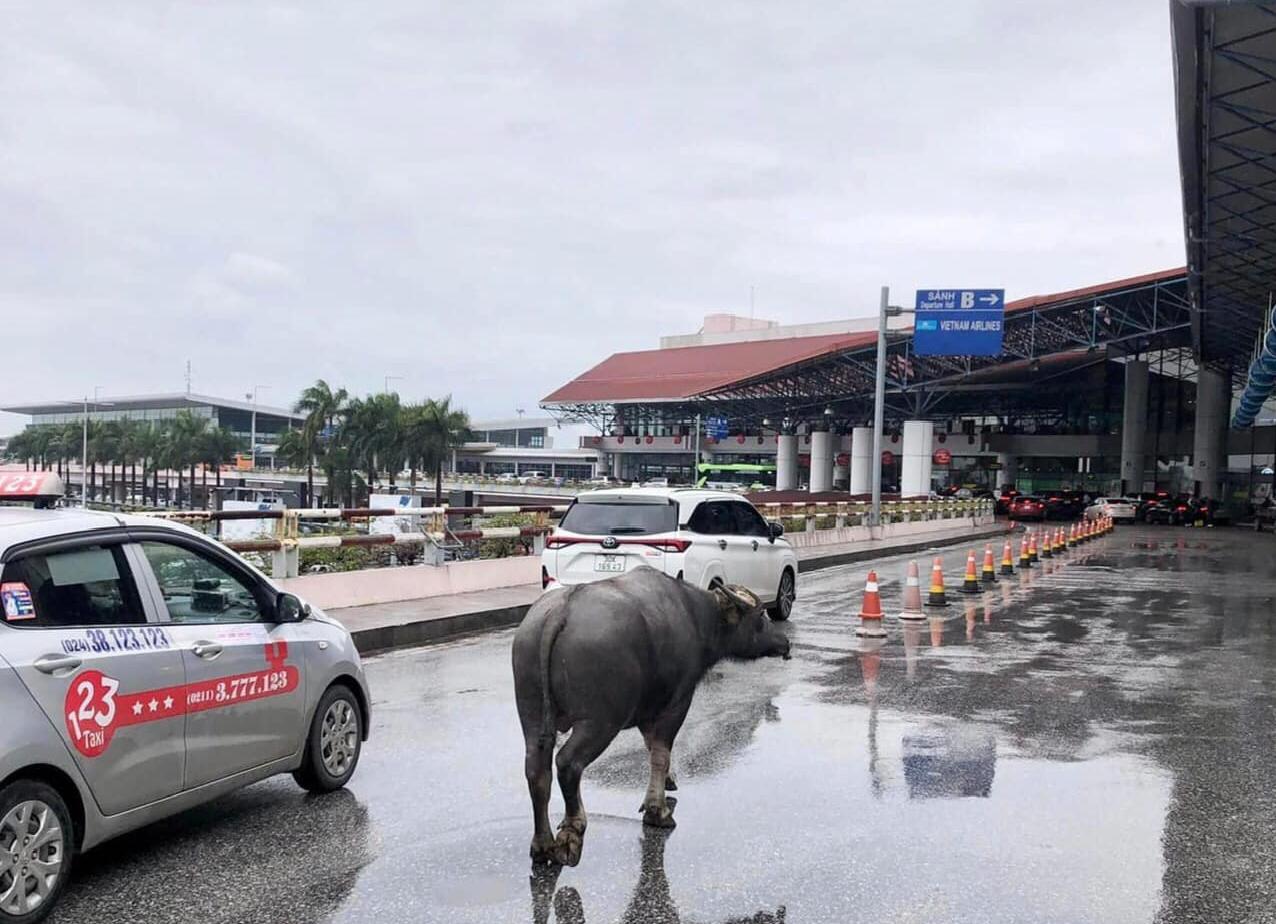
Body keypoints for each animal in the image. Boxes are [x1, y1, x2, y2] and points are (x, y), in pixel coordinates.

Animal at [507, 569, 786, 867]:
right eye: (760, 615)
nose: (785, 642)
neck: (696, 616)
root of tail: (561, 611)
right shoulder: (676, 704)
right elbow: (660, 753)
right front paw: (657, 811)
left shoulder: (648, 710)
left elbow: (652, 748)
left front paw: (668, 783)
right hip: (600, 721)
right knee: (568, 764)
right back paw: (571, 833)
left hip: (531, 713)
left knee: (536, 770)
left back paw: (542, 844)